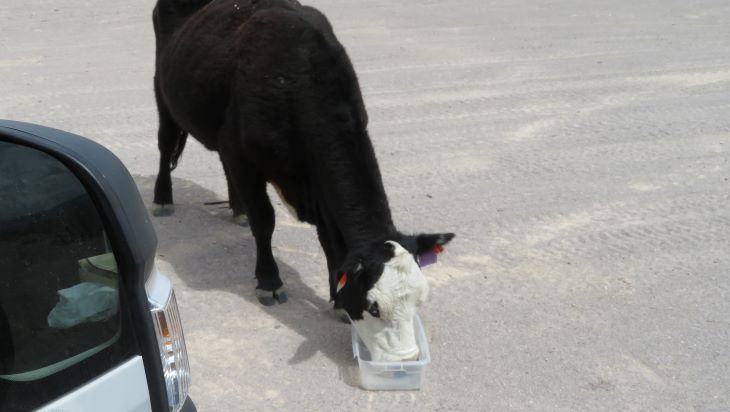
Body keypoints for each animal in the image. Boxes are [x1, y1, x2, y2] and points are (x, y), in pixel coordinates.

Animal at [152, 0, 454, 361]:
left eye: (421, 299)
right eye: (373, 306)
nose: (406, 359)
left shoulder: (316, 181)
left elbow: (329, 242)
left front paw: (336, 297)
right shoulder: (241, 153)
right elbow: (265, 221)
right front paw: (269, 282)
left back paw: (237, 210)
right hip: (163, 95)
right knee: (165, 146)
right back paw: (162, 199)